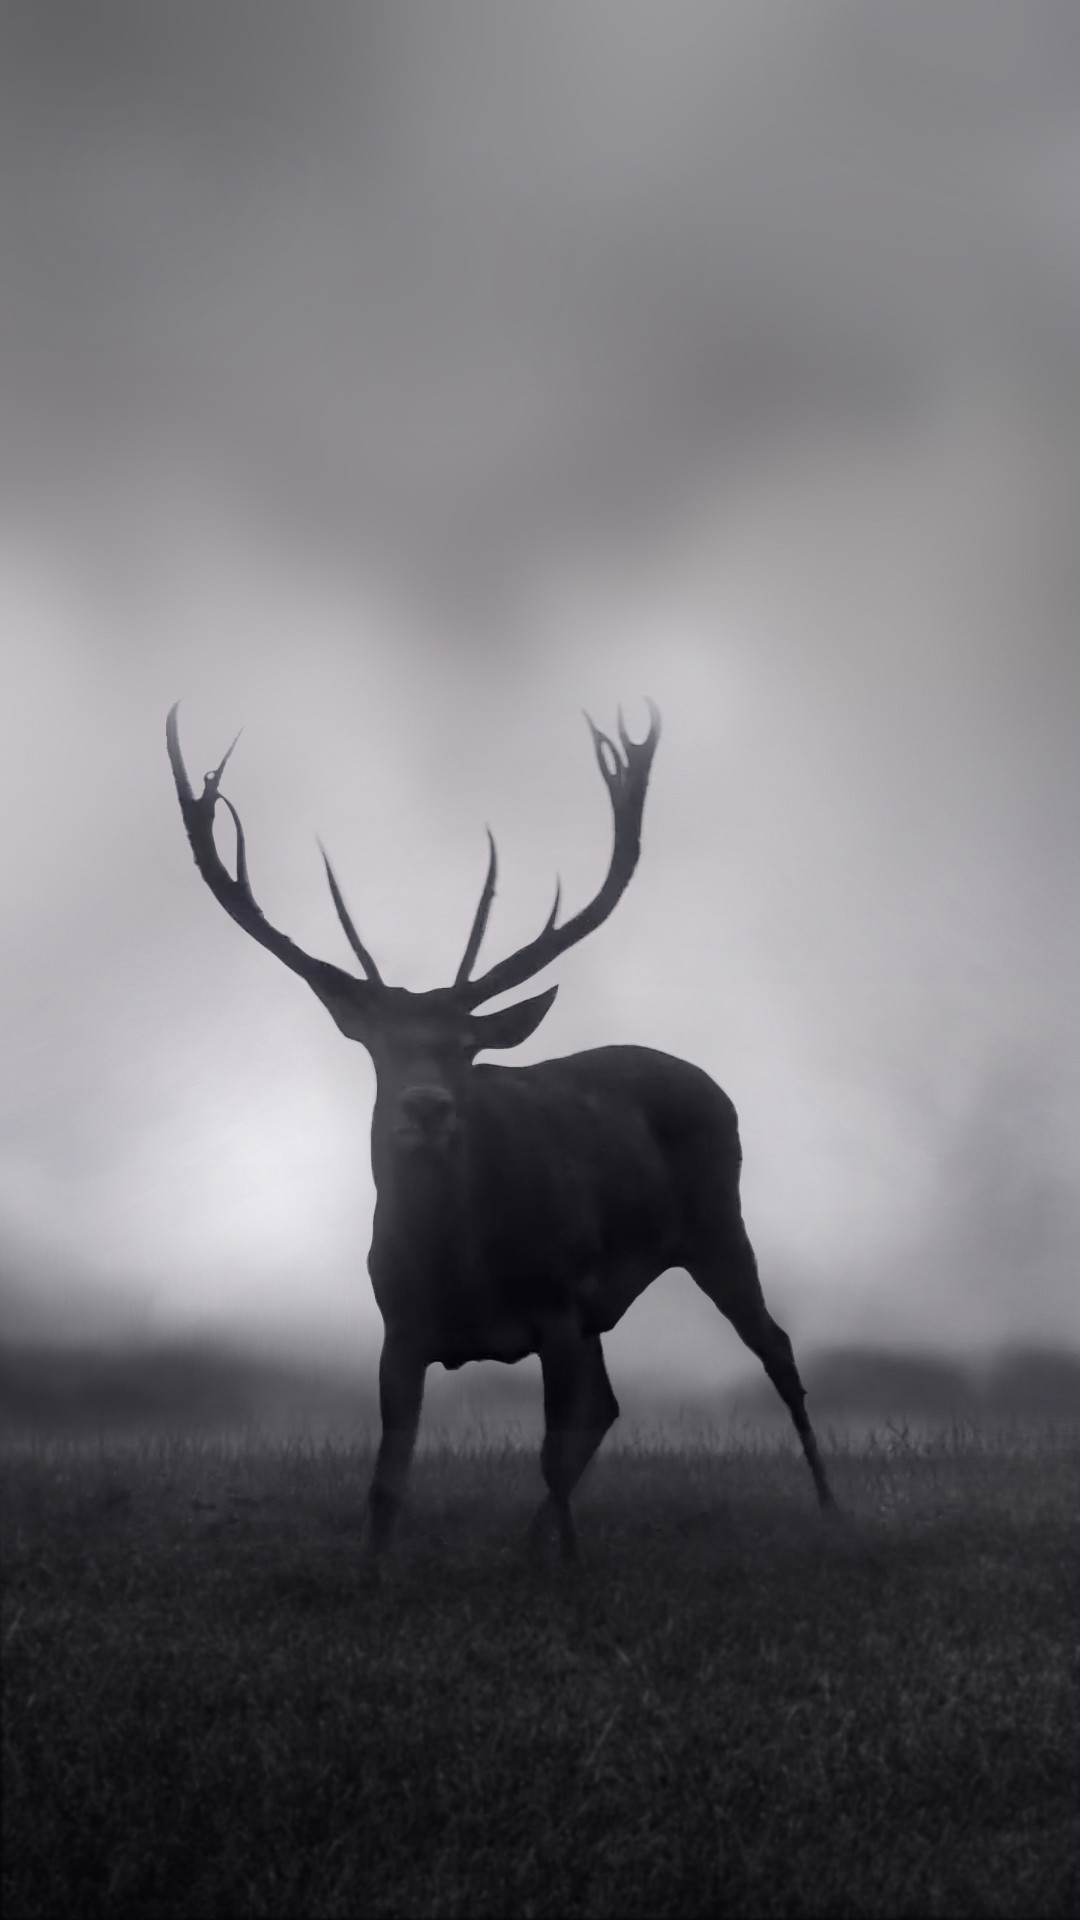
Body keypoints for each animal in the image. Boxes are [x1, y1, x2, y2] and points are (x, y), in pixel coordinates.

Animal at [166, 700, 834, 1562]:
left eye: (465, 1047)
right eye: (380, 1048)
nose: (425, 1106)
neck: (459, 1265)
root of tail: (711, 1083)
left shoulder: (555, 1301)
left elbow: (551, 1451)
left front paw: (573, 1571)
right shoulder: (399, 1325)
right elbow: (387, 1481)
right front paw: (372, 1574)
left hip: (716, 1222)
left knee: (774, 1350)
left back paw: (831, 1509)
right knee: (610, 1404)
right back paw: (523, 1544)